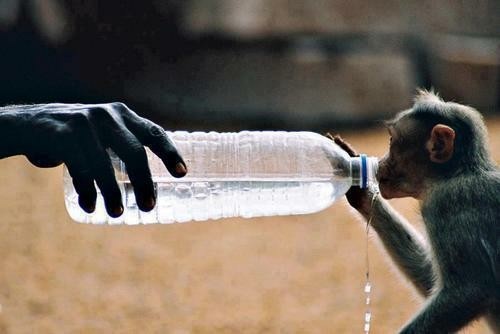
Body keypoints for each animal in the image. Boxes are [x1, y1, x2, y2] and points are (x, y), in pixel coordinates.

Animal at [332, 90, 500, 332]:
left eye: (391, 141)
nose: (381, 162)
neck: (455, 174)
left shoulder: (446, 205)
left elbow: (471, 290)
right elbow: (430, 277)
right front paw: (361, 189)